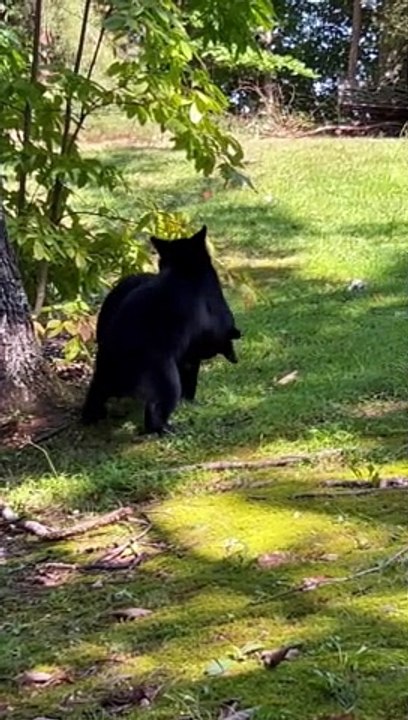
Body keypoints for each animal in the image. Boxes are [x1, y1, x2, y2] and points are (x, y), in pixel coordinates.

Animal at [82, 225, 240, 434]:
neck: (184, 268)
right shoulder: (210, 330)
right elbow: (222, 340)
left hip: (101, 376)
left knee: (94, 396)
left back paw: (91, 417)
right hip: (167, 381)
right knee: (154, 411)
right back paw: (167, 429)